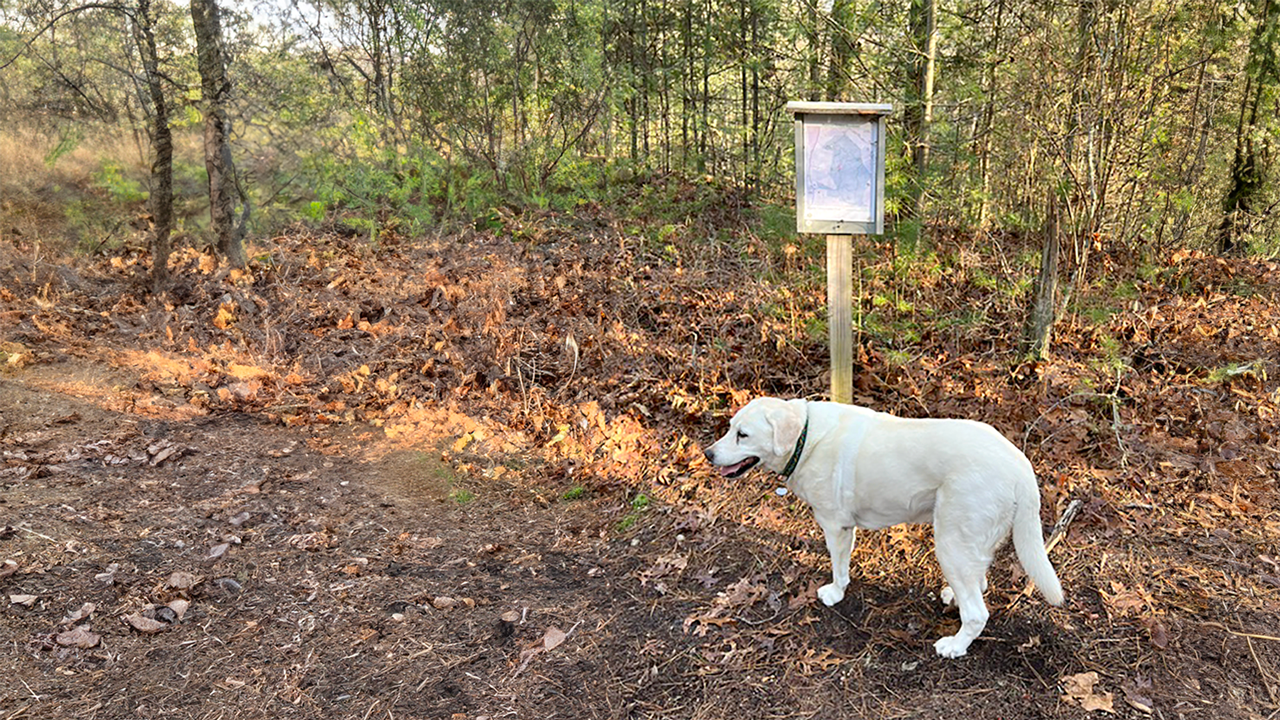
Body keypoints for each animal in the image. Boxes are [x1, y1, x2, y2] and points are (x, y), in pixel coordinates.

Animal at [706, 394, 1064, 661]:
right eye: (730, 428)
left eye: (742, 435)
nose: (708, 453)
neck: (805, 439)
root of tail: (1021, 467)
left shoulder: (836, 526)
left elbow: (839, 569)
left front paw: (835, 593)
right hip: (966, 542)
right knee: (979, 580)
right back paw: (953, 596)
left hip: (950, 541)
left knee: (978, 613)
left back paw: (954, 646)